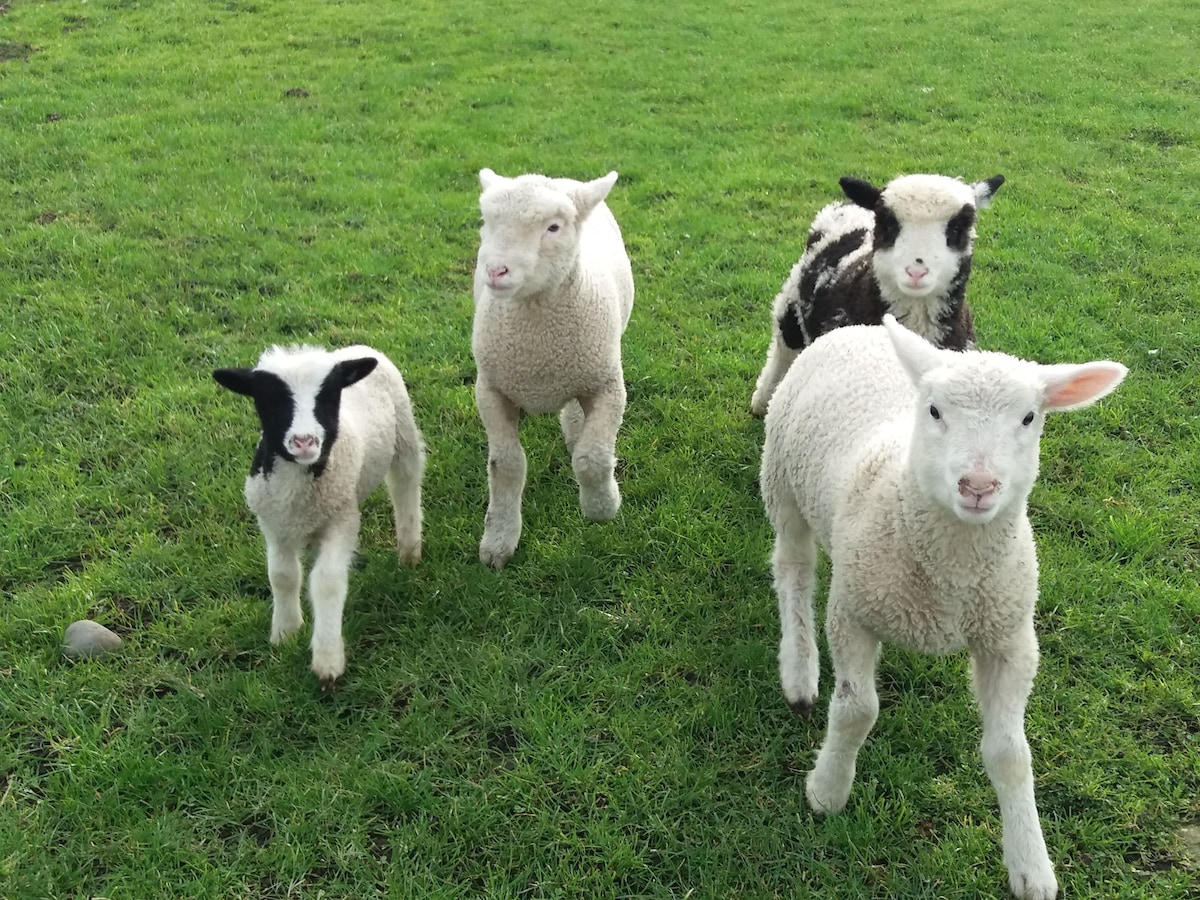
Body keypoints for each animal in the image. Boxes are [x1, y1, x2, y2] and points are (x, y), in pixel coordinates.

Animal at [212, 345, 427, 691]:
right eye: (268, 398)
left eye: (329, 395)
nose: (304, 442)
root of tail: (357, 346)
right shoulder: (275, 526)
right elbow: (282, 576)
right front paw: (285, 631)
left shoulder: (342, 521)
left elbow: (326, 583)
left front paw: (327, 660)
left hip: (404, 433)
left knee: (405, 484)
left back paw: (409, 550)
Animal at [470, 165, 638, 566]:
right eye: (486, 221)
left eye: (554, 227)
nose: (496, 271)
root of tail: (556, 177)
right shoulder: (490, 390)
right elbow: (506, 465)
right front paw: (499, 540)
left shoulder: (608, 385)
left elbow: (593, 458)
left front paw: (601, 507)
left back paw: (575, 431)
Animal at [748, 170, 1003, 417]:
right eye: (889, 225)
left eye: (957, 229)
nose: (916, 272)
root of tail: (846, 206)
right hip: (790, 305)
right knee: (783, 349)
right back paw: (763, 400)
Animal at [758, 314, 1123, 900]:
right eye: (933, 411)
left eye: (1029, 417)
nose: (978, 484)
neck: (952, 569)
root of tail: (863, 327)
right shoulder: (853, 611)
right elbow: (857, 711)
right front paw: (828, 790)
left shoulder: (1009, 637)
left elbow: (1010, 754)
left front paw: (1031, 864)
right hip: (783, 479)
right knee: (793, 568)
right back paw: (799, 666)